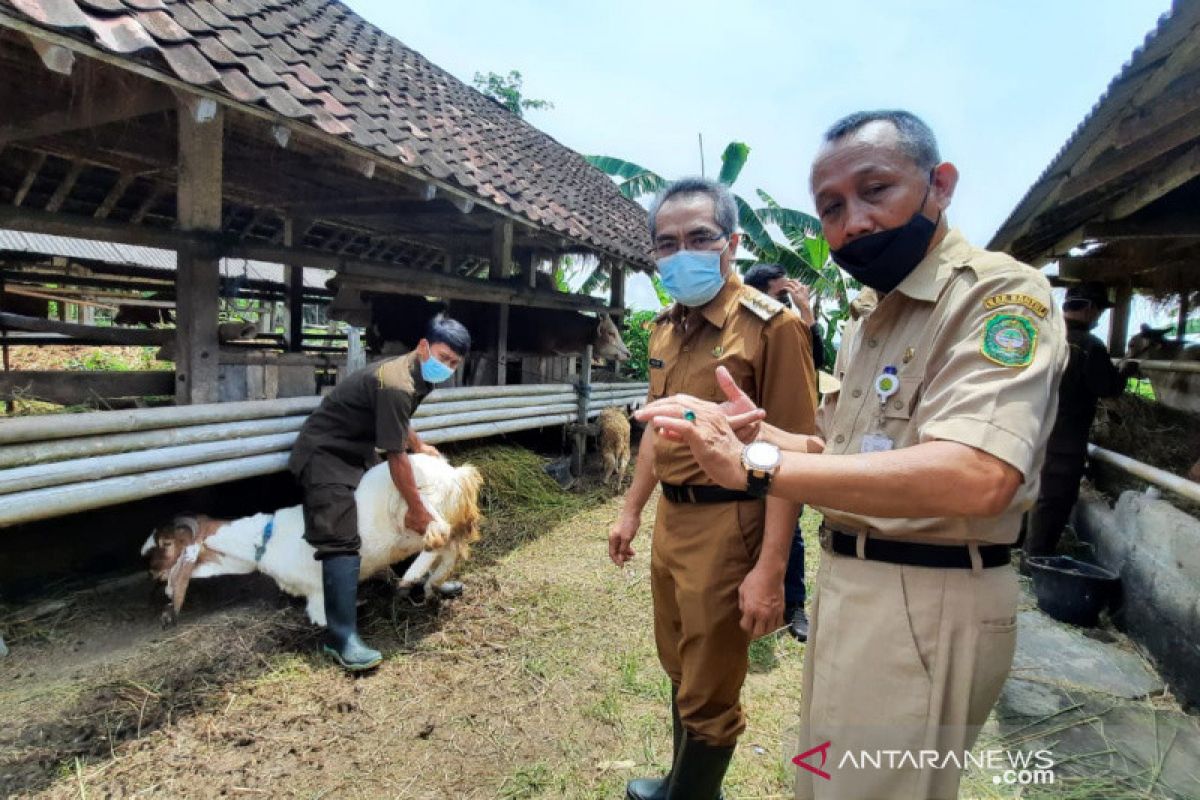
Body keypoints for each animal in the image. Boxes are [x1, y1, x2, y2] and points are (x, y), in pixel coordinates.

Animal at [147, 455, 484, 623]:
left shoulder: (318, 591)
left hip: (416, 503)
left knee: (438, 534)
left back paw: (413, 576)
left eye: (165, 544)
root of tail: (455, 475)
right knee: (452, 548)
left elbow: (323, 617)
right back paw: (429, 585)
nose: (152, 574)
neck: (266, 540)